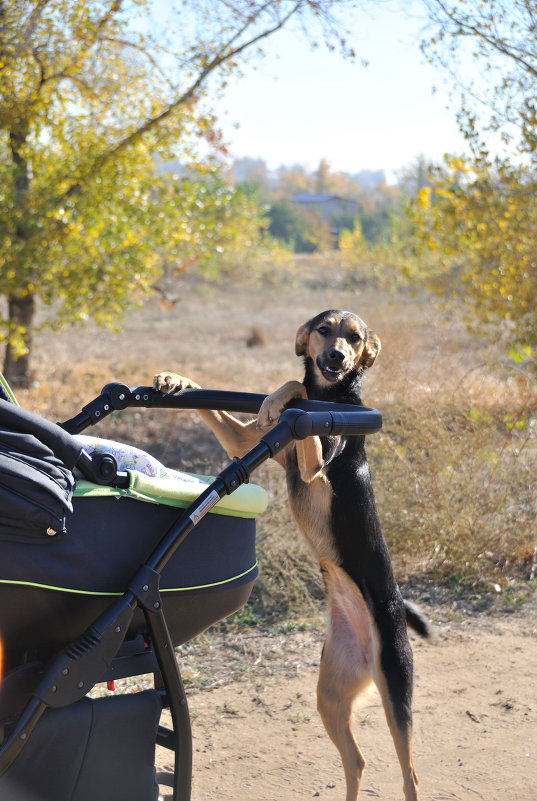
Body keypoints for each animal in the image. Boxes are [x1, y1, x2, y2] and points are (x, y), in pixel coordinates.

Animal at [152, 310, 428, 796]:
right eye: (325, 330)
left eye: (356, 337)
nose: (337, 357)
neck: (331, 396)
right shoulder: (247, 445)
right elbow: (232, 408)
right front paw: (175, 379)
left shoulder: (315, 466)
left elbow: (298, 398)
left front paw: (286, 397)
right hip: (330, 694)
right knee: (356, 762)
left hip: (396, 693)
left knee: (409, 775)